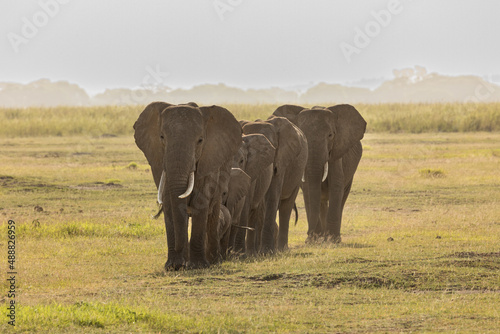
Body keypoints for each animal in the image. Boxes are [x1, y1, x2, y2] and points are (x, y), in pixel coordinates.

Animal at [133, 101, 242, 268]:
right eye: (161, 137)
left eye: (200, 140)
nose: (182, 264)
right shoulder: (159, 161)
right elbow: (169, 202)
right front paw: (173, 266)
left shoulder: (209, 160)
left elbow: (200, 201)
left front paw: (198, 266)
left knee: (213, 212)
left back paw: (214, 261)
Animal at [240, 115, 306, 253]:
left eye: (272, 148)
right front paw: (261, 251)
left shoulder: (282, 158)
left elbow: (272, 193)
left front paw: (267, 251)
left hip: (298, 172)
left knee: (286, 206)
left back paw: (282, 249)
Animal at [274, 103, 368, 243]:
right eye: (303, 136)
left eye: (330, 135)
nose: (309, 234)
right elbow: (308, 188)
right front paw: (313, 241)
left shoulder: (336, 153)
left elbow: (336, 185)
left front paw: (332, 241)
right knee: (322, 202)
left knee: (342, 198)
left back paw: (333, 237)